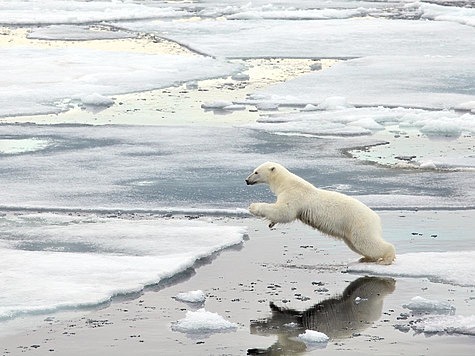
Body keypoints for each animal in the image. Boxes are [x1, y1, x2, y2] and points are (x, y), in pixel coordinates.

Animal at [247, 161, 396, 264]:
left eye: (256, 172)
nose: (247, 180)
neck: (286, 182)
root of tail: (376, 218)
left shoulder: (294, 195)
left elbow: (284, 211)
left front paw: (253, 206)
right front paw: (271, 223)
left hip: (359, 224)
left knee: (367, 242)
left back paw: (386, 258)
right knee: (357, 245)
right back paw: (366, 258)